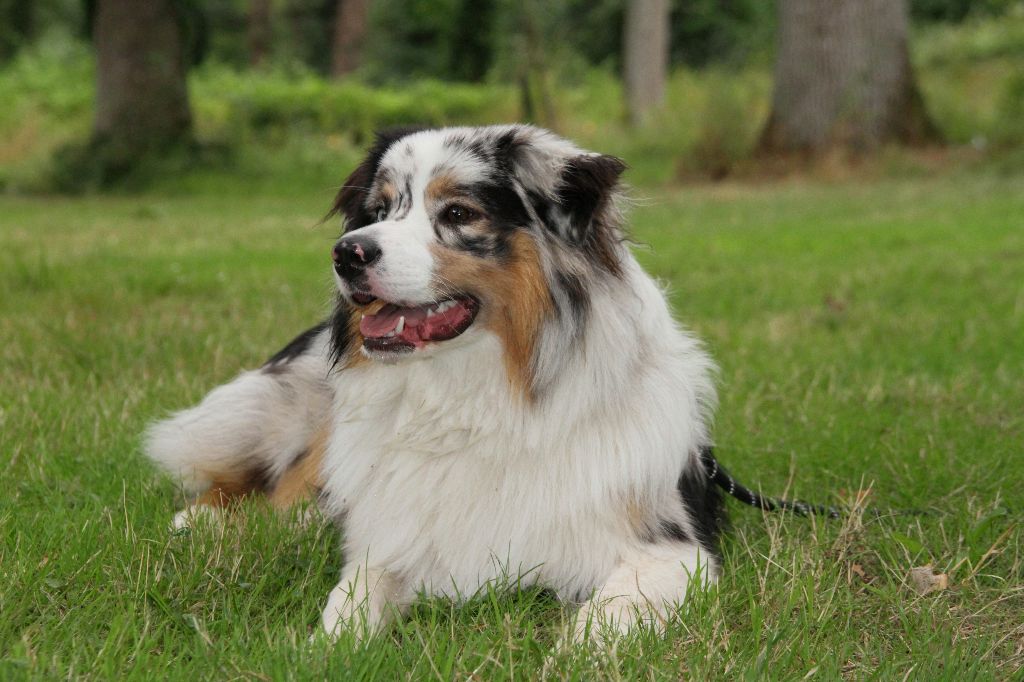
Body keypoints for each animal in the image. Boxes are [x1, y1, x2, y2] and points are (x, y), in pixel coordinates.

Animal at [144, 123, 724, 643]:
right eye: (378, 211)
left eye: (458, 213)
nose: (346, 253)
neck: (473, 400)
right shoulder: (393, 535)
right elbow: (349, 601)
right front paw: (324, 651)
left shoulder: (674, 551)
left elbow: (604, 619)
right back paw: (198, 523)